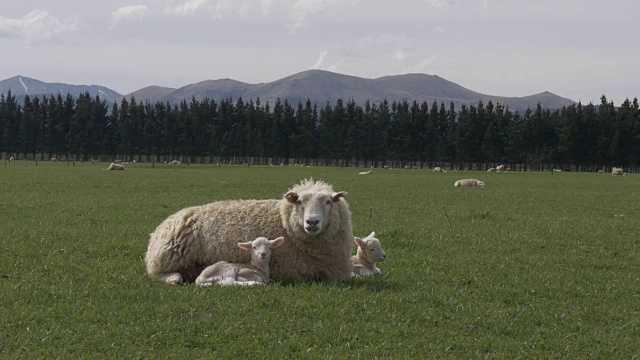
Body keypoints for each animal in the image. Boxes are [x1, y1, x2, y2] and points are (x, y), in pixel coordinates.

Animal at [146, 179, 356, 286]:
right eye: (299, 202)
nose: (312, 222)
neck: (286, 222)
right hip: (167, 257)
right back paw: (174, 278)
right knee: (156, 273)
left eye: (328, 202)